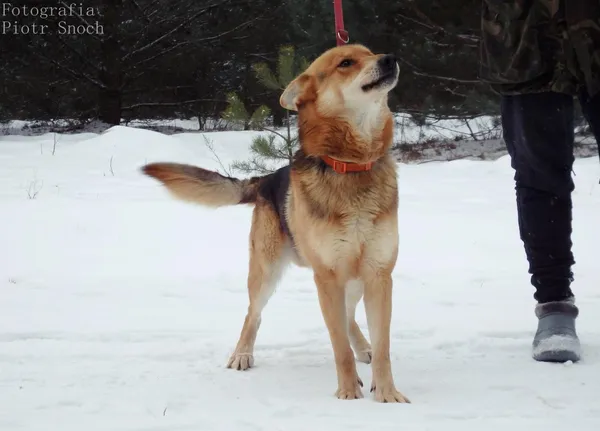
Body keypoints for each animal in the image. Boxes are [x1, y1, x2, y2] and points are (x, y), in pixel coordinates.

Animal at [143, 44, 410, 404]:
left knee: (351, 316)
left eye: (370, 52)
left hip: (353, 280)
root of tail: (265, 179)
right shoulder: (327, 277)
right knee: (252, 315)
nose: (389, 59)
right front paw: (347, 393)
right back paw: (242, 354)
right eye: (345, 63)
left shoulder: (379, 273)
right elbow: (338, 346)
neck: (351, 166)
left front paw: (387, 394)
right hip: (268, 272)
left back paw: (363, 347)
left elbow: (383, 348)